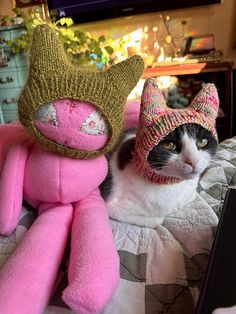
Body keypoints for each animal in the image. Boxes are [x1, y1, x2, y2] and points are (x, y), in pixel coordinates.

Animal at [100, 79, 219, 226]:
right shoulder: (115, 207)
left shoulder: (189, 195)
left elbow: (189, 198)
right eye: (169, 145)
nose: (193, 161)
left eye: (203, 142)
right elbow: (158, 220)